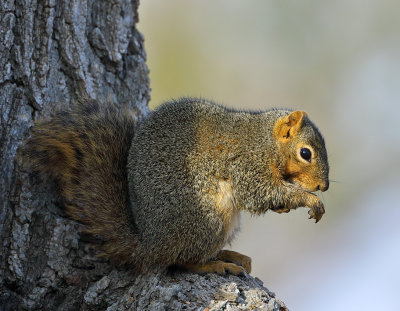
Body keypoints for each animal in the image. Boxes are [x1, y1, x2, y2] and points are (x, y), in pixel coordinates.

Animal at [25, 98, 332, 276]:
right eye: (306, 153)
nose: (323, 186)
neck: (264, 140)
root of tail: (149, 244)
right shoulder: (246, 164)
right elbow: (260, 192)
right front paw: (310, 200)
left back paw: (229, 254)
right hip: (208, 219)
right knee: (179, 259)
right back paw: (214, 264)